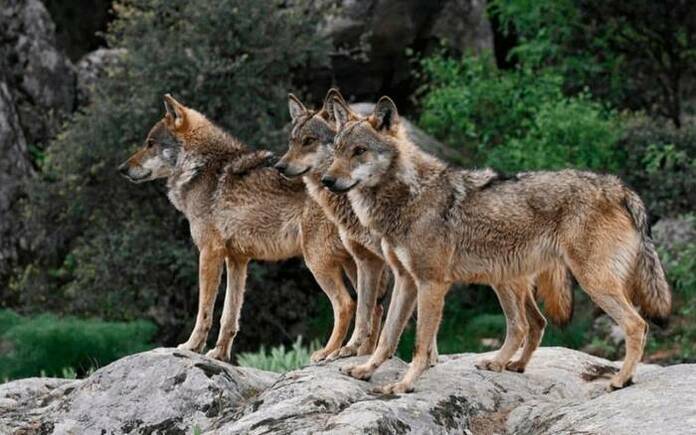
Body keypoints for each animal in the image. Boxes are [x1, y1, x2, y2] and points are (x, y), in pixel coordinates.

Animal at [118, 94, 360, 362]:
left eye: (150, 144)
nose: (122, 169)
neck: (200, 167)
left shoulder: (209, 253)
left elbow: (205, 310)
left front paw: (191, 347)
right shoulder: (237, 260)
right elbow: (229, 315)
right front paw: (219, 354)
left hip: (317, 262)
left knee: (346, 304)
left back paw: (329, 352)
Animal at [277, 89, 574, 364]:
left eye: (309, 141)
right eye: (292, 142)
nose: (279, 165)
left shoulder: (406, 267)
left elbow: (398, 317)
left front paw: (424, 359)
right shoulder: (367, 261)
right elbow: (367, 311)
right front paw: (355, 352)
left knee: (529, 321)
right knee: (538, 321)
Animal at [323, 95, 671, 394]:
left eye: (359, 151)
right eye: (337, 151)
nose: (327, 180)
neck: (409, 195)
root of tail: (618, 186)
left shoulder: (431, 283)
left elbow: (421, 344)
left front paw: (404, 384)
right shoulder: (406, 280)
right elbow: (387, 335)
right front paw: (365, 370)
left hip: (590, 282)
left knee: (637, 325)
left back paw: (621, 380)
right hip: (505, 278)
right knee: (524, 326)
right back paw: (505, 364)